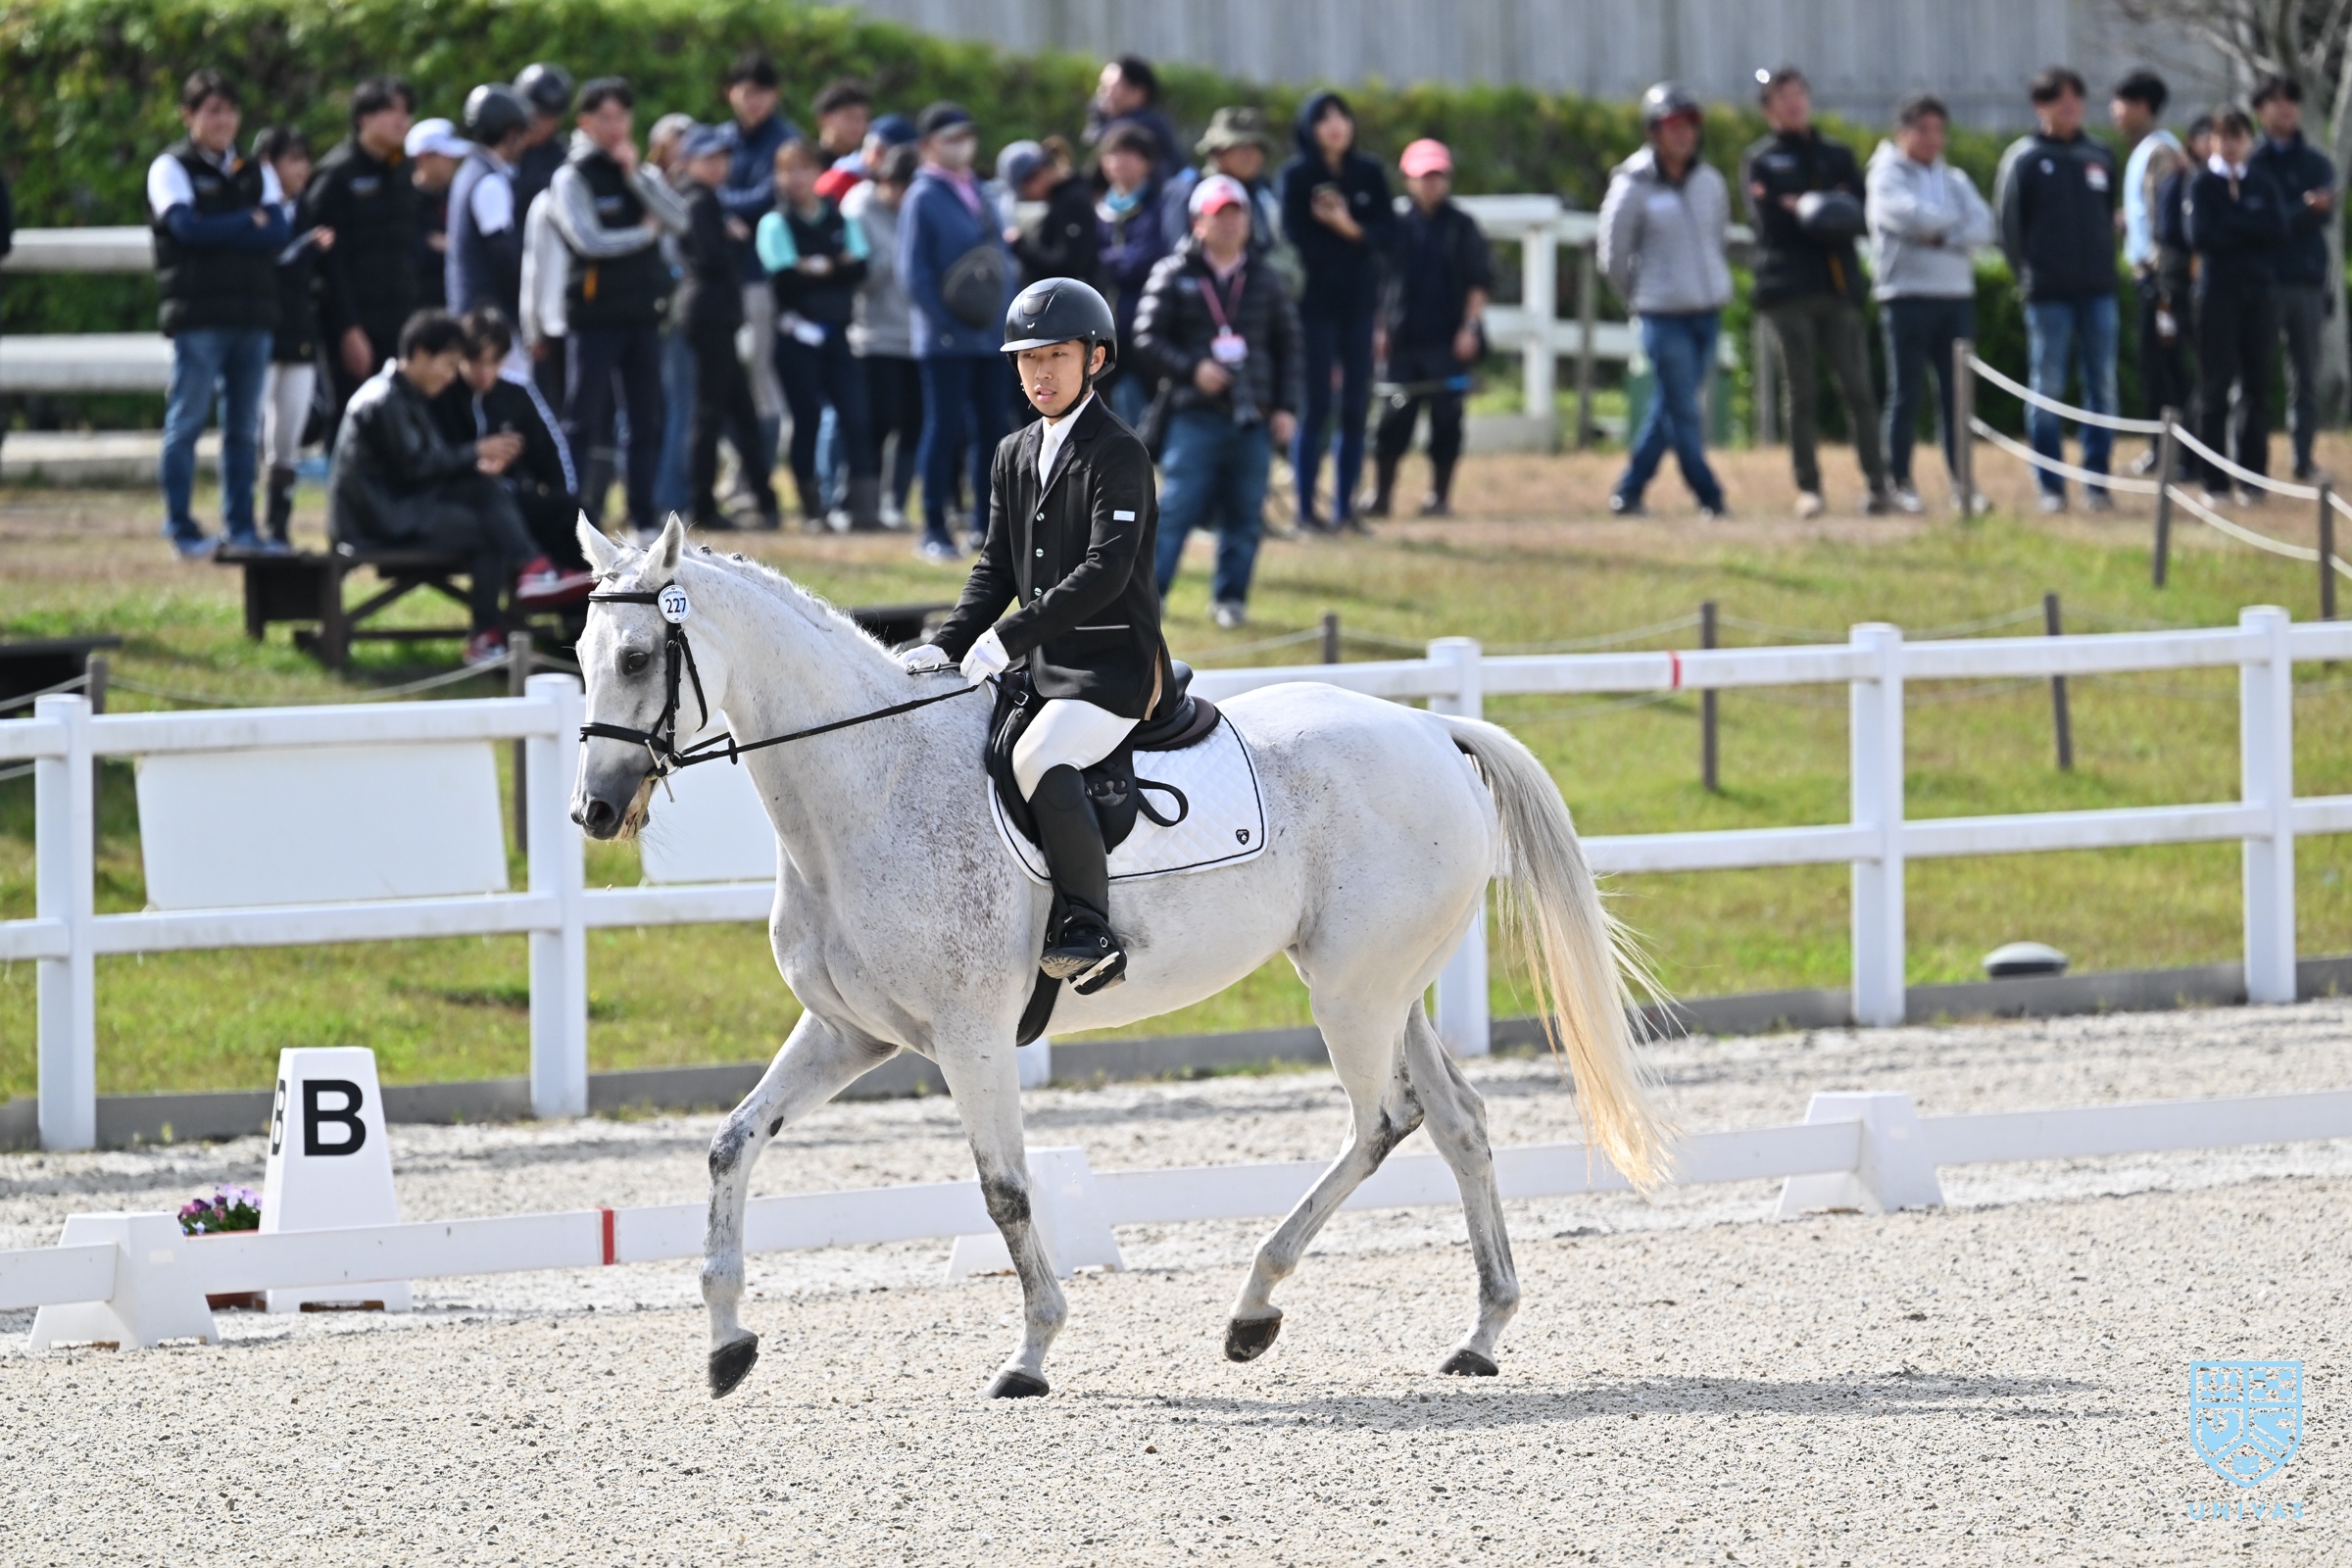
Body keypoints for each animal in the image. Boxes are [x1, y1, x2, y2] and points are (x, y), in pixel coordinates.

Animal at [566, 514, 1672, 1400]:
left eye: (638, 657)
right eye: (580, 653)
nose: (594, 809)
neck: (869, 785)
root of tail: (1434, 729)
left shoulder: (969, 1035)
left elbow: (1006, 1191)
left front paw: (1030, 1354)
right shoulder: (851, 1034)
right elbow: (731, 1145)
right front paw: (726, 1343)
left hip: (1351, 995)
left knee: (1382, 1123)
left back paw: (1253, 1311)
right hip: (1390, 988)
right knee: (1459, 1124)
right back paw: (1480, 1334)